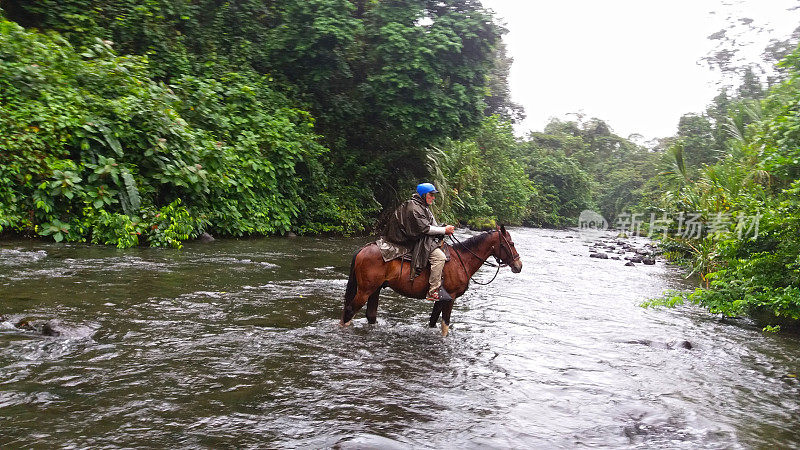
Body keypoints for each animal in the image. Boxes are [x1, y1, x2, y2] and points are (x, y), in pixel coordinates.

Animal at [340, 225, 520, 334]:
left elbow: (433, 321)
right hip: (365, 290)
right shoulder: (451, 298)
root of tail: (364, 248)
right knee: (349, 311)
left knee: (370, 315)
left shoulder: (441, 299)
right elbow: (445, 324)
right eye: (510, 243)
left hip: (375, 290)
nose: (519, 265)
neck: (462, 260)